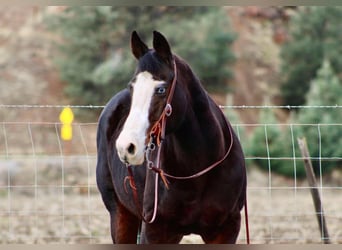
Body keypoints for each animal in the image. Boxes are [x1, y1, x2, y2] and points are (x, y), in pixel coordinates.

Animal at [95, 30, 247, 243]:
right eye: (132, 87)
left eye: (161, 89)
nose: (126, 147)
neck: (199, 169)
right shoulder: (154, 231)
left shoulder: (226, 229)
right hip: (120, 215)